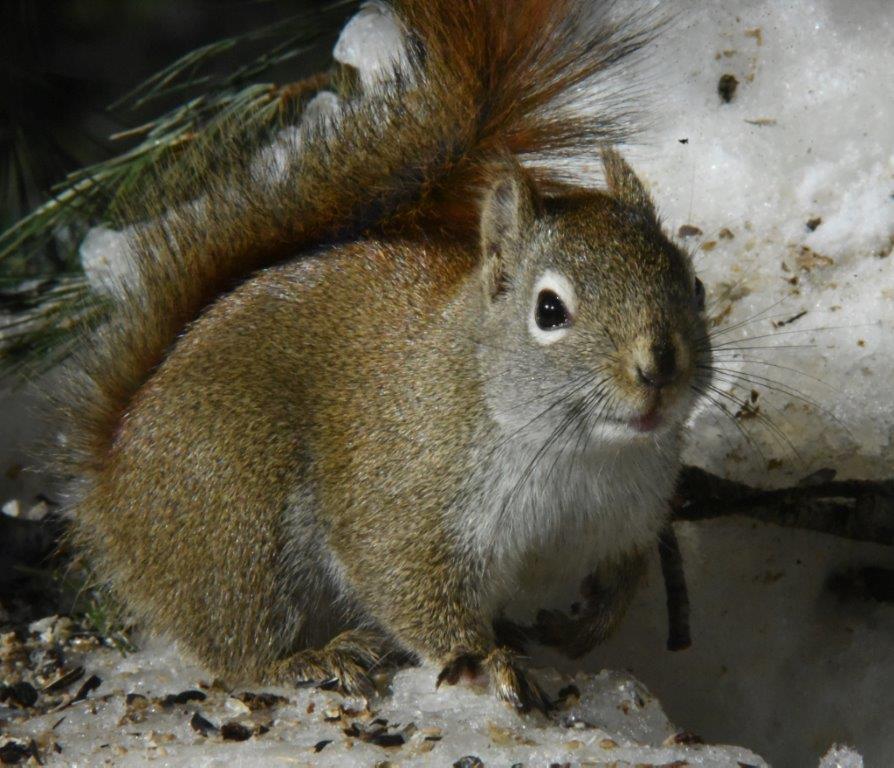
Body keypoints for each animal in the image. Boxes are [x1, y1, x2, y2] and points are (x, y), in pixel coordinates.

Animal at [57, 0, 711, 712]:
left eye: (694, 283)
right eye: (549, 311)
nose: (658, 368)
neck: (583, 456)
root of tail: (112, 476)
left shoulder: (625, 517)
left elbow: (623, 578)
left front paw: (583, 626)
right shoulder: (404, 500)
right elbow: (404, 582)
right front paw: (490, 661)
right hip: (237, 514)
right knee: (239, 646)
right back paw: (312, 659)